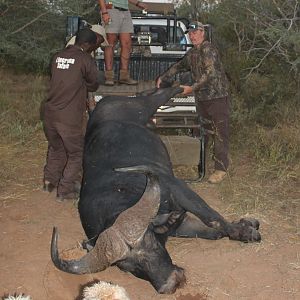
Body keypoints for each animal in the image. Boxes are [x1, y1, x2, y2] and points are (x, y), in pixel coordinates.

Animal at [51, 86, 260, 292]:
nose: (170, 284)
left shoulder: (179, 189)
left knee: (161, 93)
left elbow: (213, 219)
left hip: (143, 106)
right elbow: (213, 232)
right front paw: (246, 225)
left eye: (151, 244)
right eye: (128, 267)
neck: (122, 191)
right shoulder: (177, 223)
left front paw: (246, 231)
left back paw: (180, 85)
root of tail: (106, 102)